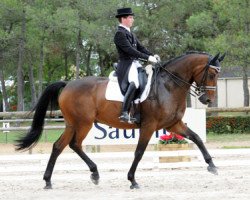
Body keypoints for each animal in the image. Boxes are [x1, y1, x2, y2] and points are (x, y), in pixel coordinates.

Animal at [16, 51, 226, 189]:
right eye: (212, 74)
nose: (207, 100)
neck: (168, 86)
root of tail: (68, 84)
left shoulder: (174, 124)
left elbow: (196, 138)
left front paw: (212, 166)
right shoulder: (149, 125)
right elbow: (139, 152)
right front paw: (132, 180)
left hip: (72, 124)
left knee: (60, 146)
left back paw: (51, 180)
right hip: (83, 123)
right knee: (74, 144)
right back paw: (90, 173)